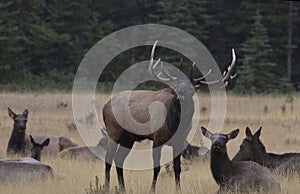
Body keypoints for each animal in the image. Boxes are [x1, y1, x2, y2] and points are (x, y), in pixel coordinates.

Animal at [102, 40, 238, 192]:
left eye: (190, 90)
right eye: (177, 88)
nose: (181, 96)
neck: (176, 124)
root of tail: (104, 106)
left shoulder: (179, 141)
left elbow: (177, 168)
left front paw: (178, 189)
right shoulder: (157, 139)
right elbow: (156, 168)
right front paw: (152, 190)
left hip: (129, 137)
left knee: (119, 159)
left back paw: (122, 188)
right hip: (113, 131)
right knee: (108, 158)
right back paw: (106, 187)